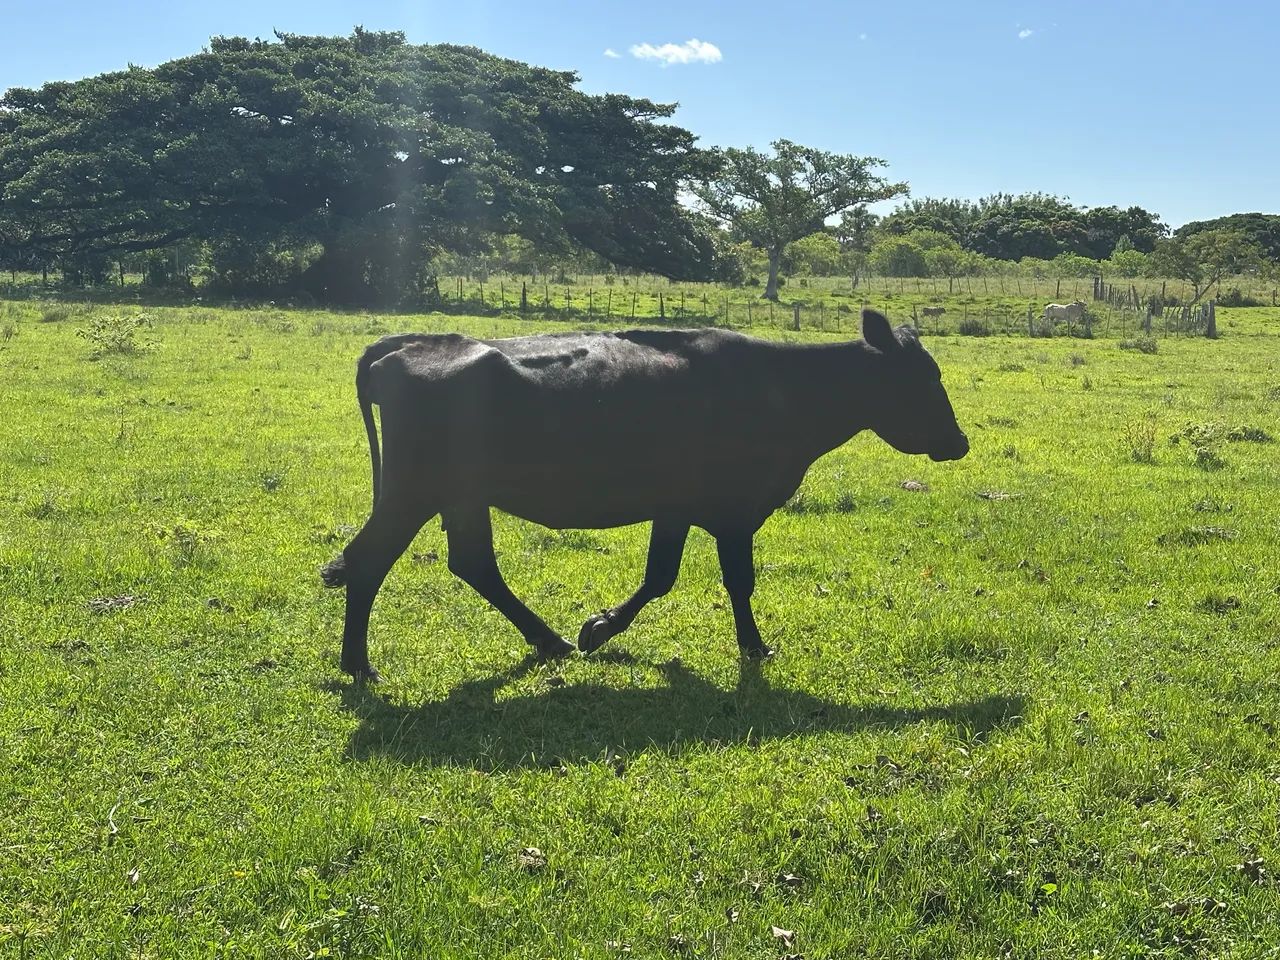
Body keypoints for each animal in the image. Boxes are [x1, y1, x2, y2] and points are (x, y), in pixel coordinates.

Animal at [321, 309, 969, 681]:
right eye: (925, 378)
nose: (959, 441)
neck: (782, 390)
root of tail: (407, 345)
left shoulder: (678, 506)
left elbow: (663, 575)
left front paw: (597, 628)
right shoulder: (732, 507)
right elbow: (731, 580)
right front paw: (754, 648)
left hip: (460, 494)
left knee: (472, 562)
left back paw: (548, 640)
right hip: (413, 490)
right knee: (369, 559)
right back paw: (359, 665)